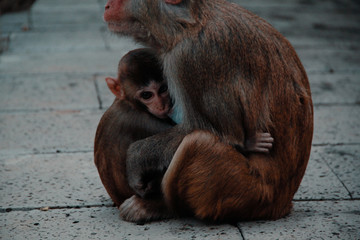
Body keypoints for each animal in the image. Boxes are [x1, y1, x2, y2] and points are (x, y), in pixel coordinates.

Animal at [93, 48, 272, 206]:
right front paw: (249, 142)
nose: (162, 105)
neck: (130, 103)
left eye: (163, 89)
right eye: (146, 95)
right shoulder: (143, 120)